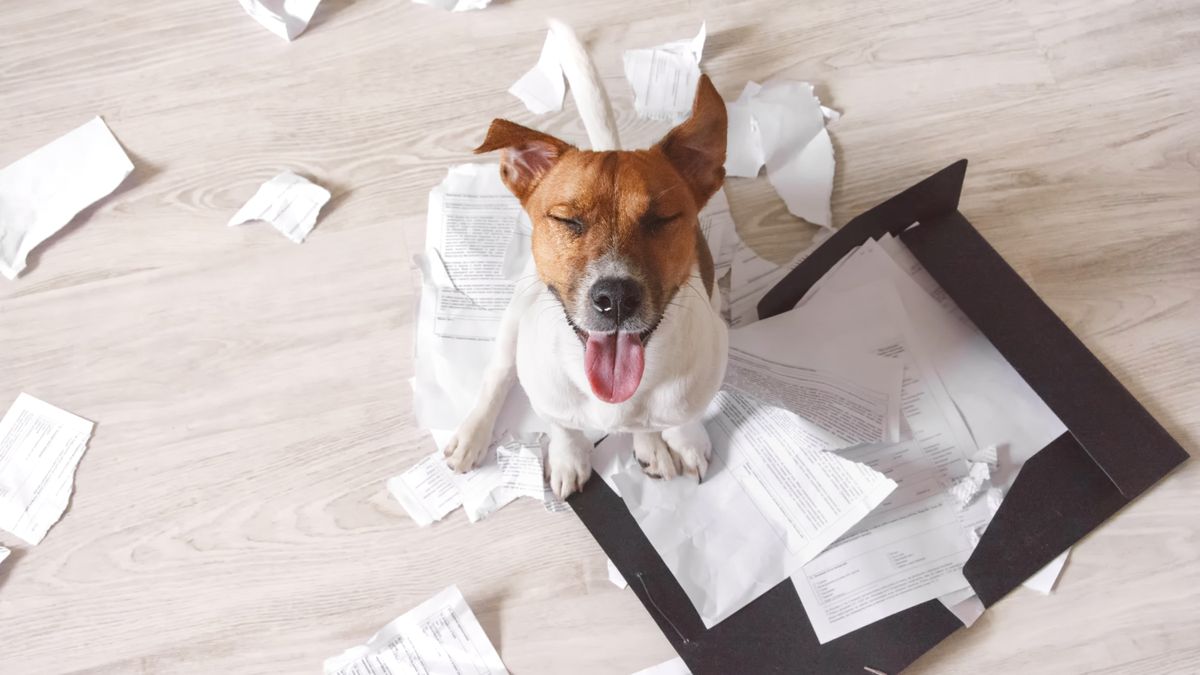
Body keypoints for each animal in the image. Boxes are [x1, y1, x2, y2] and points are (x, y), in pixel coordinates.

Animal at [439, 23, 724, 497]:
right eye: (567, 220)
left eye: (661, 220)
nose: (616, 298)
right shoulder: (552, 401)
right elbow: (564, 427)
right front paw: (569, 458)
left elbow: (681, 419)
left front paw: (682, 441)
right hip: (515, 316)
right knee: (498, 373)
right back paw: (472, 434)